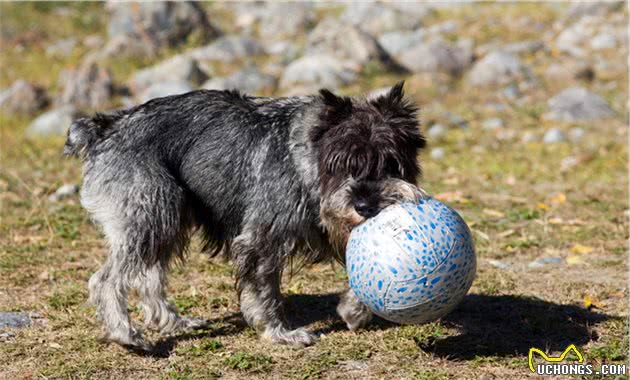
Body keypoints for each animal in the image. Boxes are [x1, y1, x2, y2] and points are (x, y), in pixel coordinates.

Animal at [64, 81, 428, 350]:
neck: (305, 157)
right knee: (106, 280)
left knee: (148, 277)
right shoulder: (260, 241)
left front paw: (353, 311)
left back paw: (172, 321)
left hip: (167, 218)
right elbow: (265, 292)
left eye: (391, 162)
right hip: (150, 215)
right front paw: (279, 333)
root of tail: (104, 129)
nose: (366, 206)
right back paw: (125, 334)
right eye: (342, 163)